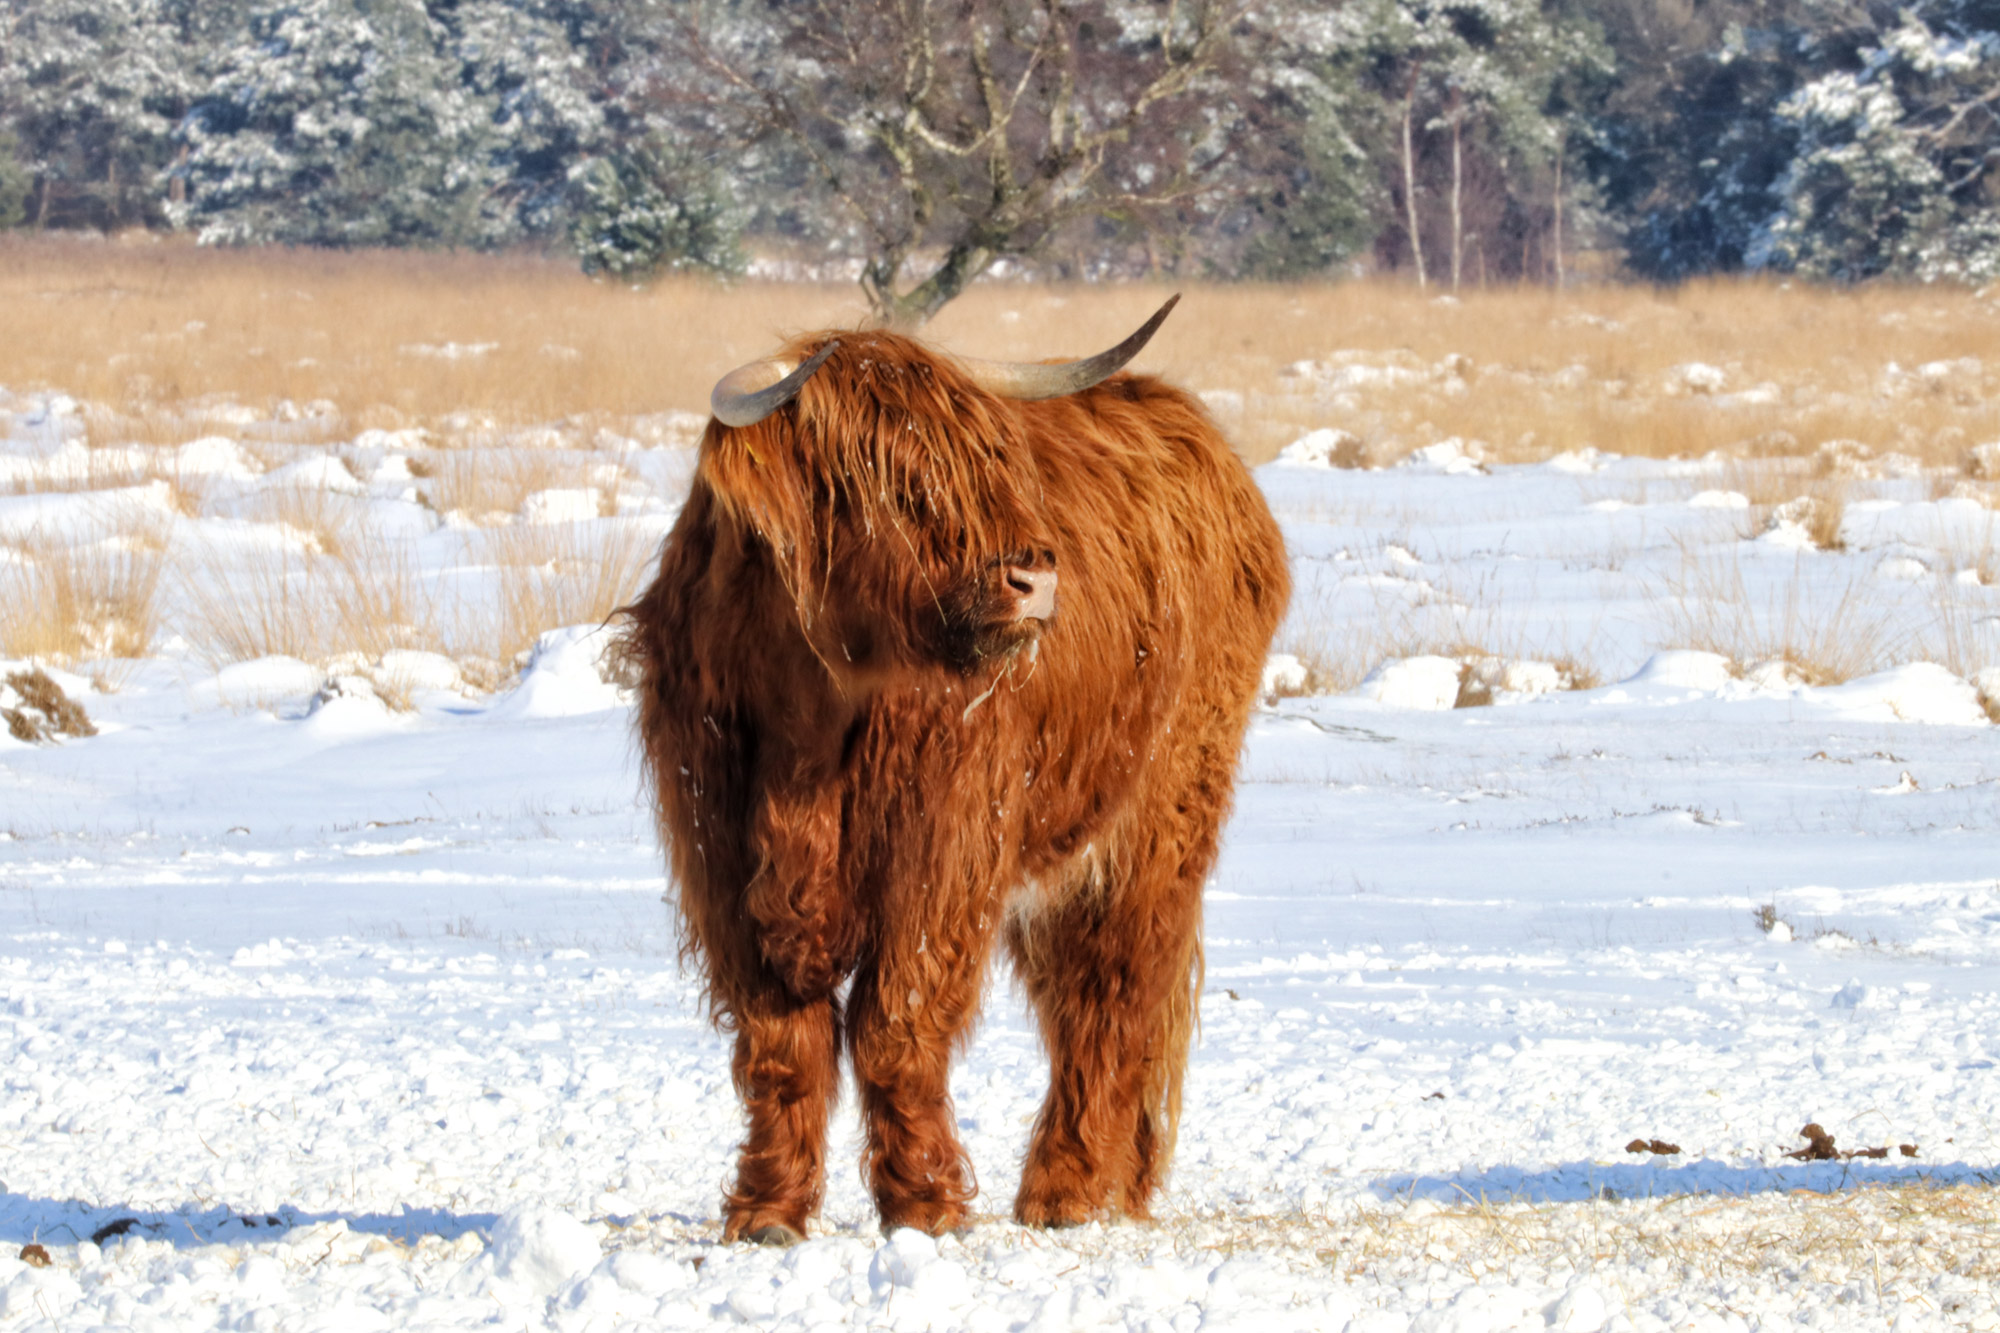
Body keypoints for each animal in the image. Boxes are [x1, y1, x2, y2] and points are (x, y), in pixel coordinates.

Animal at [616, 296, 1288, 1240]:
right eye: (883, 476)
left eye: (991, 461)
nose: (1033, 576)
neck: (807, 717)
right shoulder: (720, 861)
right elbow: (781, 1039)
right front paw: (767, 1208)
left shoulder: (941, 855)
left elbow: (897, 1021)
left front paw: (925, 1204)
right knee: (1082, 993)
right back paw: (1115, 1182)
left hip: (1161, 819)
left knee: (1115, 991)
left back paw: (1067, 1190)